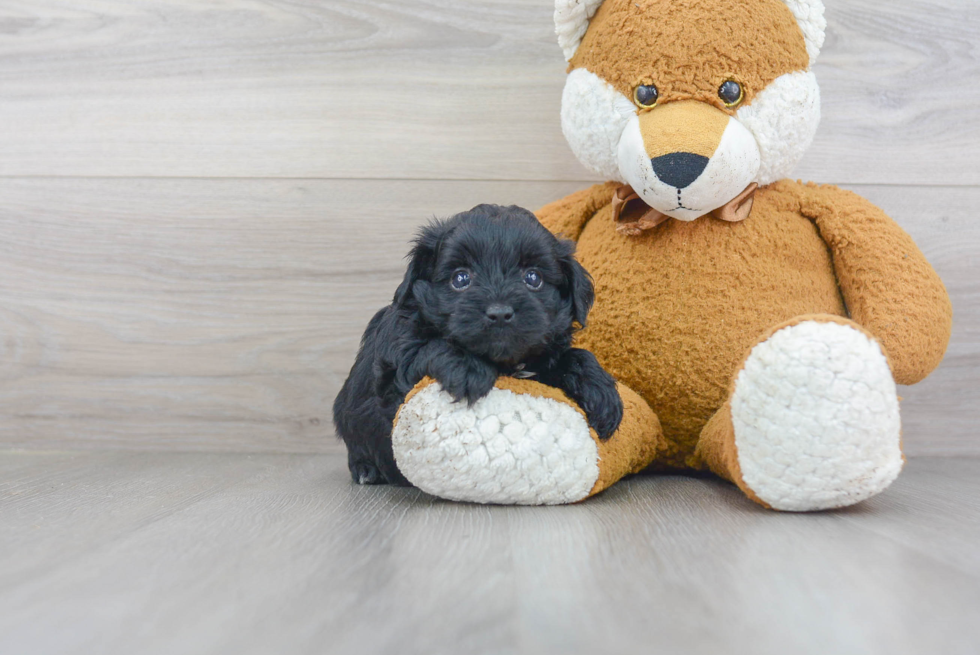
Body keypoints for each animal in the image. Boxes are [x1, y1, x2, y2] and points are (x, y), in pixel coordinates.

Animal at [334, 205, 624, 486]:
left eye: (533, 278)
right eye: (460, 279)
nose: (499, 313)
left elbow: (574, 356)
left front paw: (600, 391)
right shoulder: (394, 367)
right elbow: (427, 347)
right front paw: (468, 369)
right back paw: (366, 469)